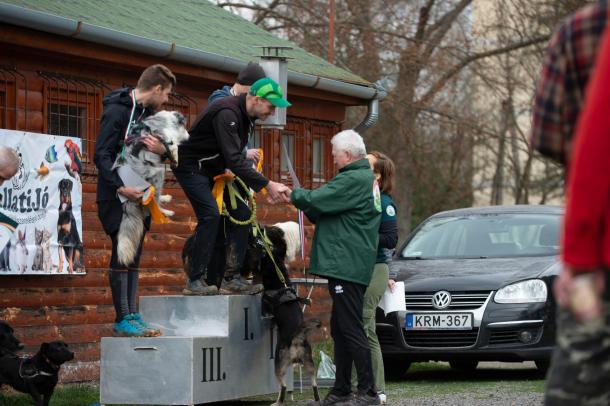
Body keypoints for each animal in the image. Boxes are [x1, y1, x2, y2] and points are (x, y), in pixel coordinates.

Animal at [241, 222, 320, 406]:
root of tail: (297, 338)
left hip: (279, 362)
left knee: (283, 386)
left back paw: (277, 402)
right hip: (309, 363)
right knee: (314, 383)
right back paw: (316, 399)